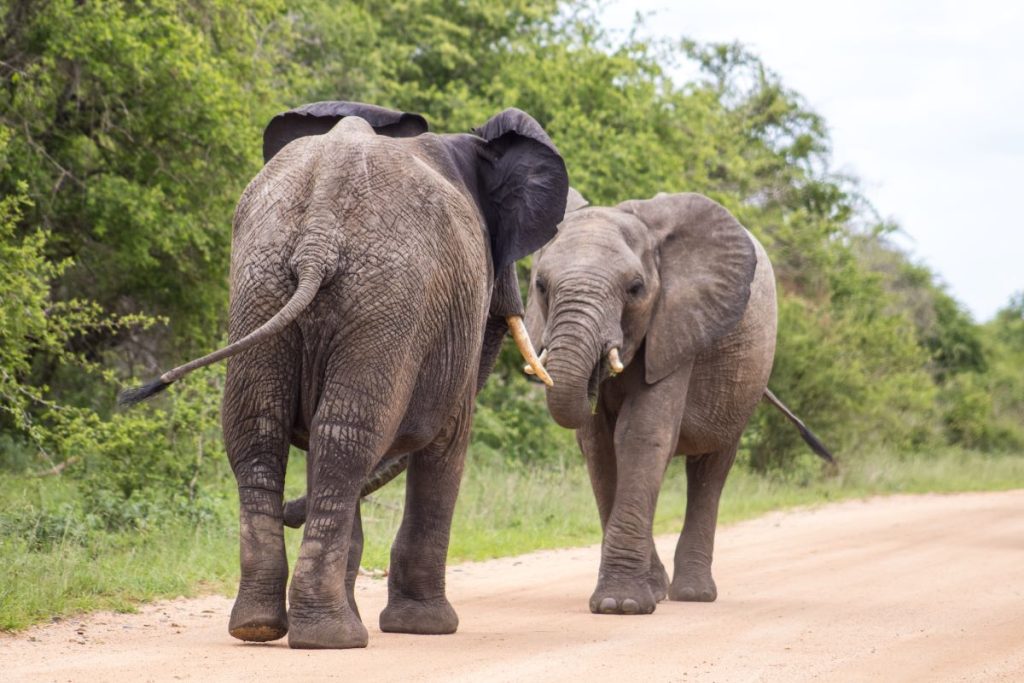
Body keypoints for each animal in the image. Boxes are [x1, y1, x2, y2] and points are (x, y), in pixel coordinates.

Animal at [122, 102, 569, 651]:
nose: (294, 512)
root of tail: (319, 228)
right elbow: (447, 443)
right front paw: (426, 628)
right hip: (387, 297)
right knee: (348, 438)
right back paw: (331, 637)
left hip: (262, 282)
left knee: (268, 431)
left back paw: (263, 627)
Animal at [520, 191, 831, 614]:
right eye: (540, 285)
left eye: (635, 288)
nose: (597, 374)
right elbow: (599, 448)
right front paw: (640, 595)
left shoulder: (679, 325)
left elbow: (640, 435)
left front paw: (621, 605)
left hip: (742, 388)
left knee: (711, 468)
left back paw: (694, 594)